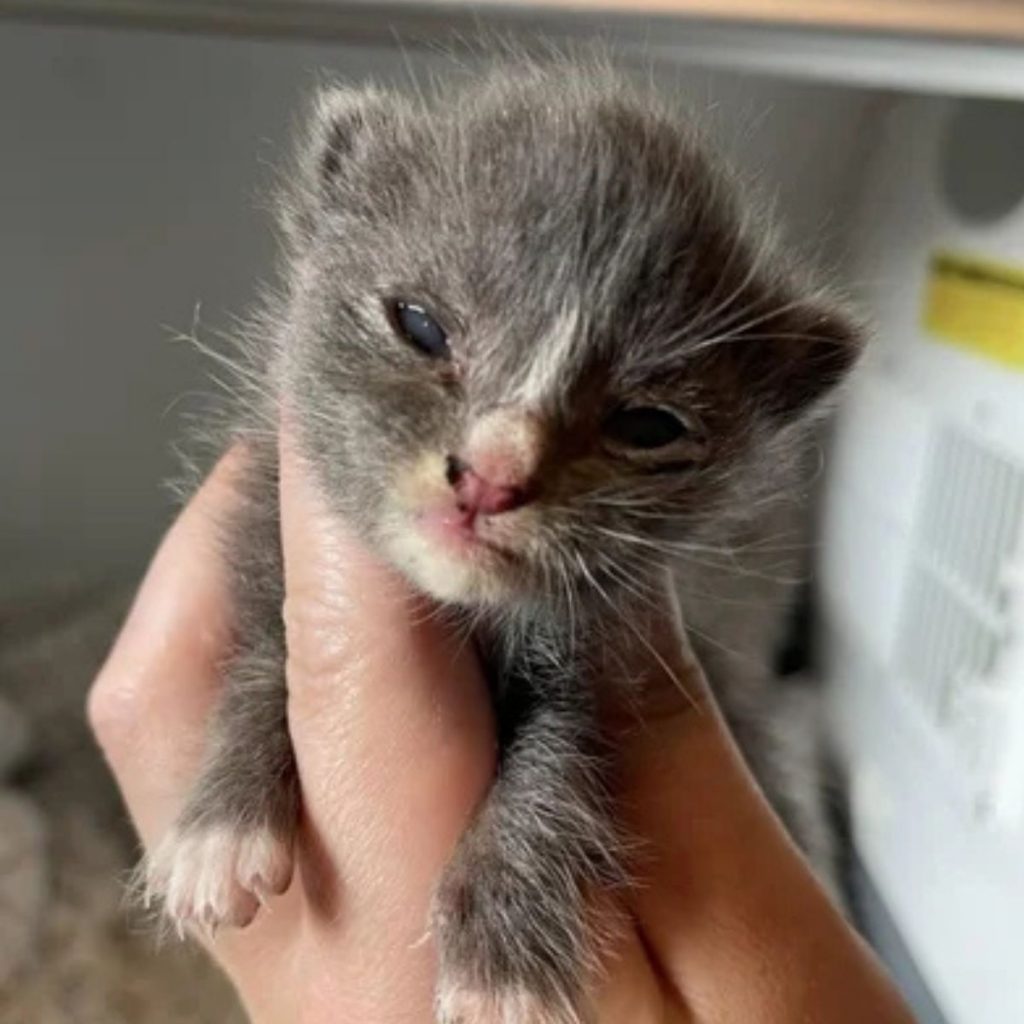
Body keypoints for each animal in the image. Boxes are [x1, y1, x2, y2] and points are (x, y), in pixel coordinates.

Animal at [144, 58, 860, 1024]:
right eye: (420, 326)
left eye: (647, 425)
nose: (491, 474)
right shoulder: (266, 540)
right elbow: (264, 659)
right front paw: (218, 830)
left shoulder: (608, 657)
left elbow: (560, 759)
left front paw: (502, 963)